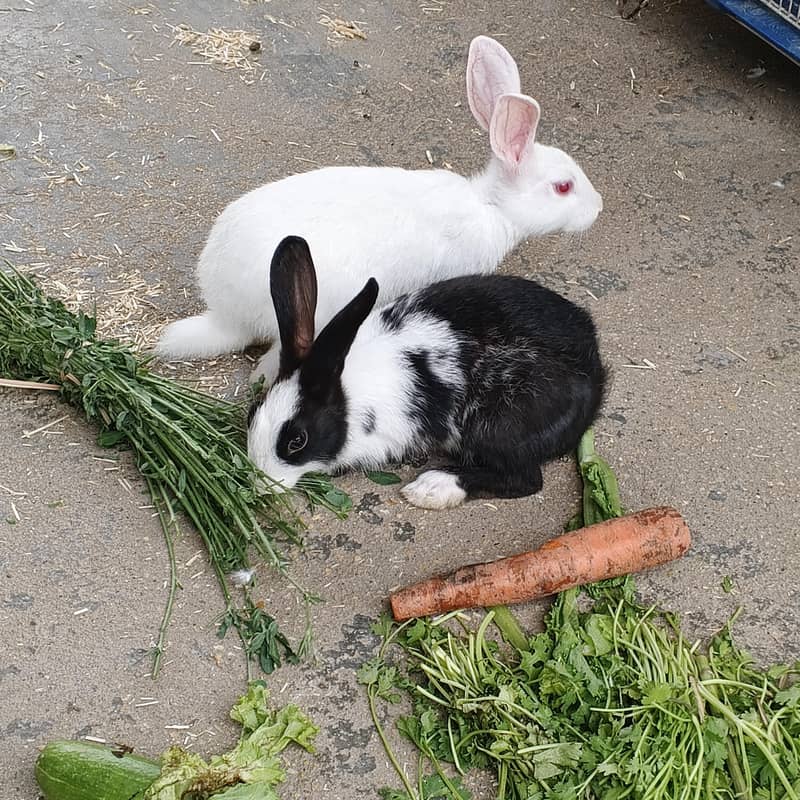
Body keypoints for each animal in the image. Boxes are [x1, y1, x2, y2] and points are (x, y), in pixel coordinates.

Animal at [247, 236, 606, 510]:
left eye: (297, 440)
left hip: (496, 427)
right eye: (252, 413)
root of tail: (595, 375)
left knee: (525, 480)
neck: (349, 397)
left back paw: (431, 488)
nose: (260, 485)